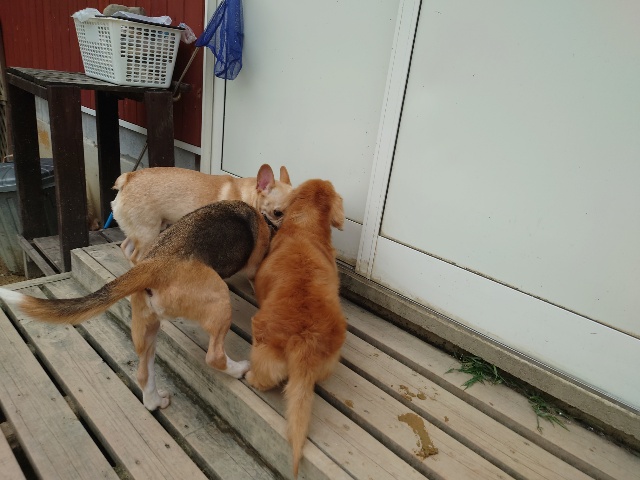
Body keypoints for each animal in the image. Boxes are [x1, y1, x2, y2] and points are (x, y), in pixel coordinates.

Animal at [0, 200, 271, 411]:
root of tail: (154, 264)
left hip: (146, 327)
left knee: (143, 373)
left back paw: (153, 401)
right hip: (219, 302)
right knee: (214, 356)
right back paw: (239, 369)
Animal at [112, 164, 292, 264]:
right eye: (277, 213)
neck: (249, 195)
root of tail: (127, 179)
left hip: (140, 230)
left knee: (126, 247)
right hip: (148, 232)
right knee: (136, 256)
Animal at [245, 179, 347, 477]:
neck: (305, 226)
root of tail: (305, 340)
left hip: (262, 352)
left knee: (264, 379)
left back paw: (250, 377)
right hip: (328, 362)